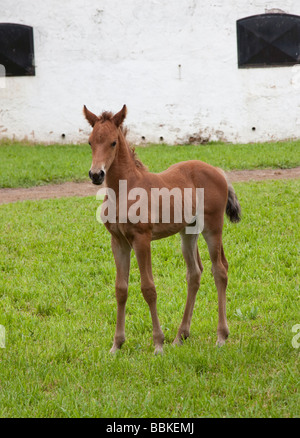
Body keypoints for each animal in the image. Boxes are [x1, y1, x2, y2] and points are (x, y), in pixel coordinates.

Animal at [82, 104, 241, 354]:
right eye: (90, 142)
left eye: (113, 143)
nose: (96, 175)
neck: (124, 190)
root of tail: (218, 170)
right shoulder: (118, 241)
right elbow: (120, 289)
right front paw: (116, 345)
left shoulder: (141, 239)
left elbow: (148, 288)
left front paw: (158, 344)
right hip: (188, 232)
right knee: (194, 273)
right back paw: (180, 336)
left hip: (213, 228)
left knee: (220, 270)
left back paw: (221, 337)